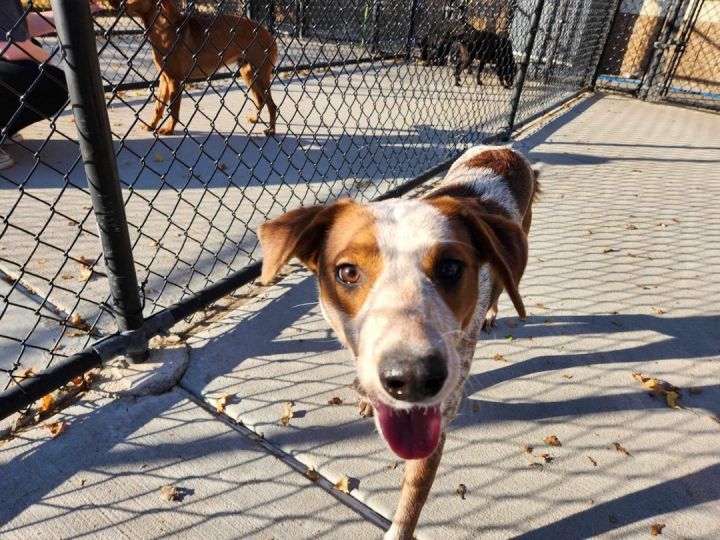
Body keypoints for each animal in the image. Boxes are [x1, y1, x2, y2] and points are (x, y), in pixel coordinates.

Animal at [114, 0, 278, 135]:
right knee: (260, 101)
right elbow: (158, 107)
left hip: (260, 76)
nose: (113, 3)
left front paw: (169, 129)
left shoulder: (175, 80)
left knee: (272, 105)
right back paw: (255, 119)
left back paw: (271, 130)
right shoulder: (164, 79)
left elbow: (173, 110)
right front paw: (151, 125)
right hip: (248, 73)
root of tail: (269, 35)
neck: (162, 26)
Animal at [258, 146, 540, 536]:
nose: (413, 378)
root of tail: (504, 149)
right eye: (348, 272)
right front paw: (366, 396)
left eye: (450, 268)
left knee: (504, 286)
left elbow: (413, 496)